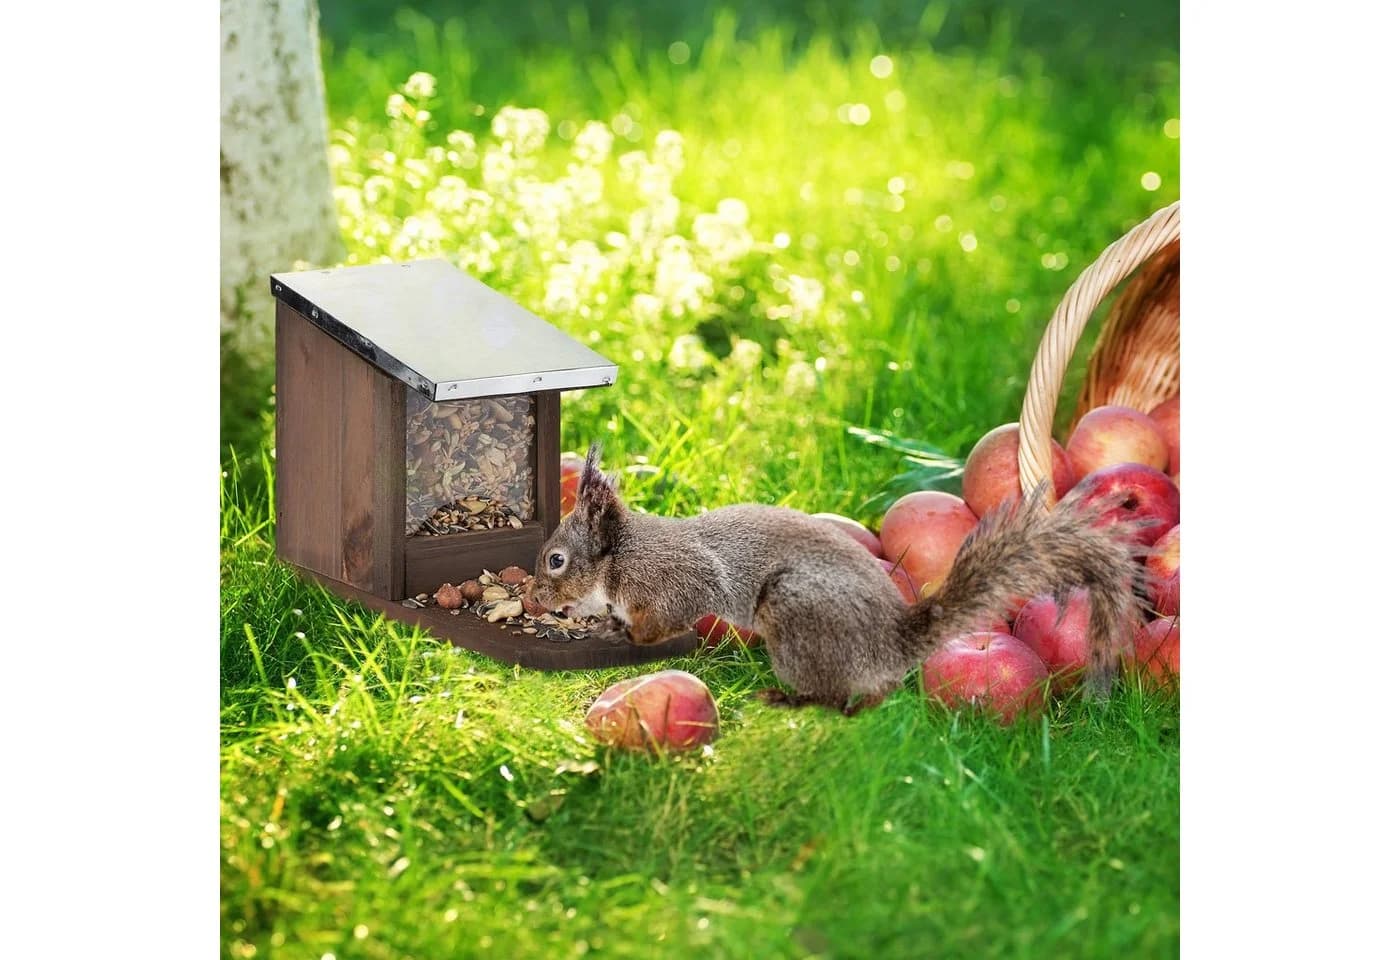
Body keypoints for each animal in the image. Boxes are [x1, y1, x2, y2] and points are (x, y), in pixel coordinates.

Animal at [527, 444, 1147, 715]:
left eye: (555, 560)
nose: (532, 601)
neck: (621, 557)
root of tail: (893, 642)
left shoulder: (673, 580)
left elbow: (664, 621)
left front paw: (625, 634)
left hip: (795, 616)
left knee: (841, 693)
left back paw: (794, 698)